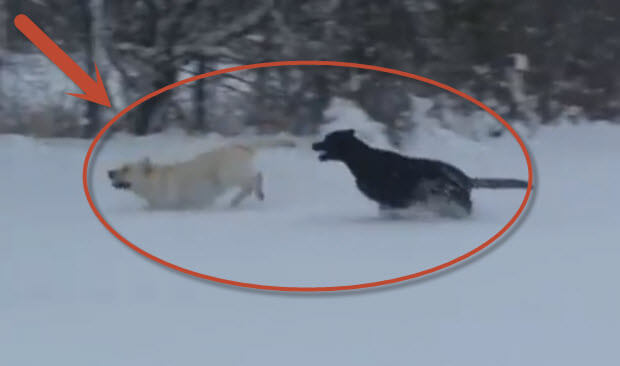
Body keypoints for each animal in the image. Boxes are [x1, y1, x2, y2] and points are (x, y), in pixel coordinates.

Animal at [107, 139, 296, 210]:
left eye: (126, 168)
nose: (109, 172)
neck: (152, 182)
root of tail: (242, 147)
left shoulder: (168, 204)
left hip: (227, 174)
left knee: (254, 178)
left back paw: (252, 194)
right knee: (252, 181)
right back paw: (239, 200)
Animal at [312, 129, 532, 217]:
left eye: (328, 139)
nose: (313, 144)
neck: (363, 160)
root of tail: (466, 179)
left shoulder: (394, 199)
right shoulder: (388, 201)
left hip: (448, 196)